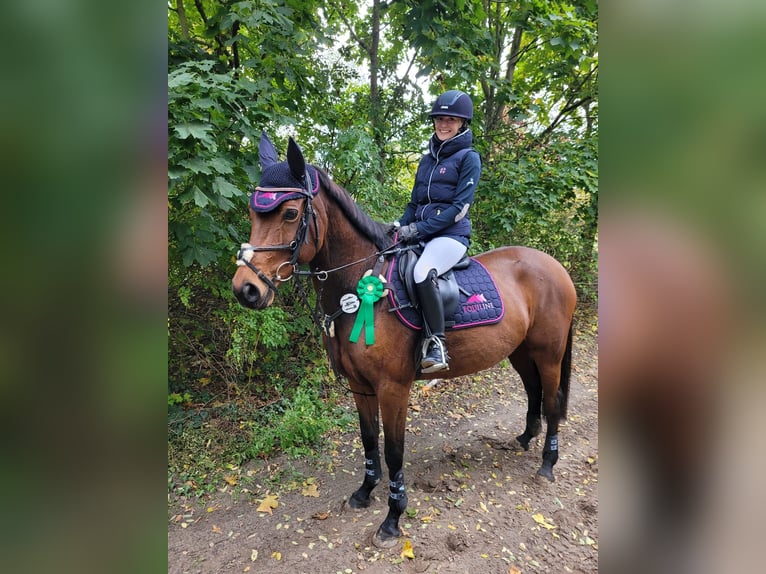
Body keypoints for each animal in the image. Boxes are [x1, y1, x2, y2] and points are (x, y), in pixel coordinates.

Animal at [231, 135, 580, 548]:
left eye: (288, 214)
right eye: (254, 214)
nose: (246, 290)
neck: (360, 286)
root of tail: (554, 265)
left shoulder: (392, 387)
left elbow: (394, 451)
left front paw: (393, 519)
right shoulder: (360, 386)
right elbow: (369, 440)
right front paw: (364, 493)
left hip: (548, 353)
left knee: (553, 400)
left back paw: (547, 464)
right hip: (521, 352)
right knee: (533, 390)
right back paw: (525, 437)